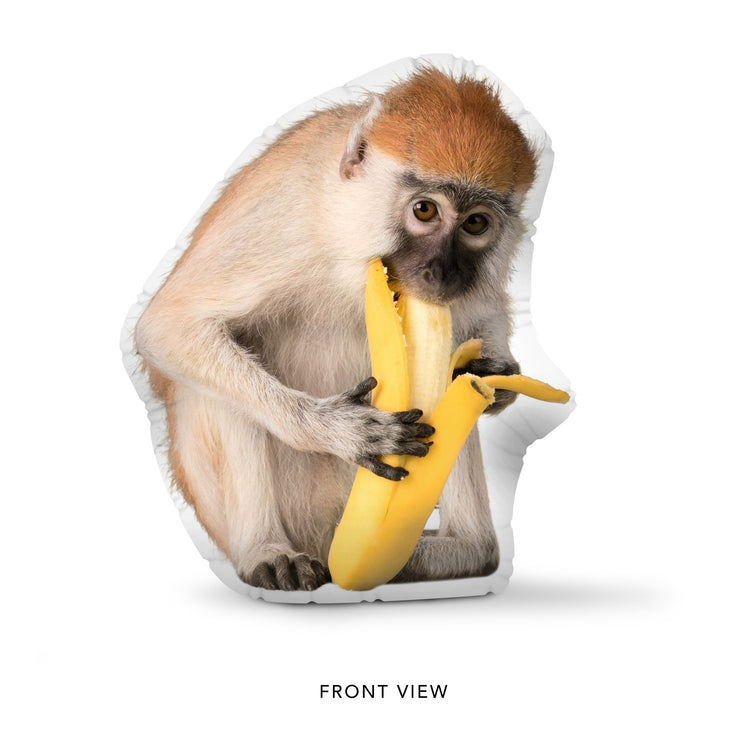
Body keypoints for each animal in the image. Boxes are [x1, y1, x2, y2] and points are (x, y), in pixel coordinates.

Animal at [135, 66, 537, 591]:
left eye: (475, 224)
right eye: (424, 210)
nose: (442, 272)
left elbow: (480, 321)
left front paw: (499, 375)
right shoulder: (283, 216)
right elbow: (171, 325)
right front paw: (337, 429)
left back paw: (460, 553)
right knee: (215, 377)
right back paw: (267, 551)